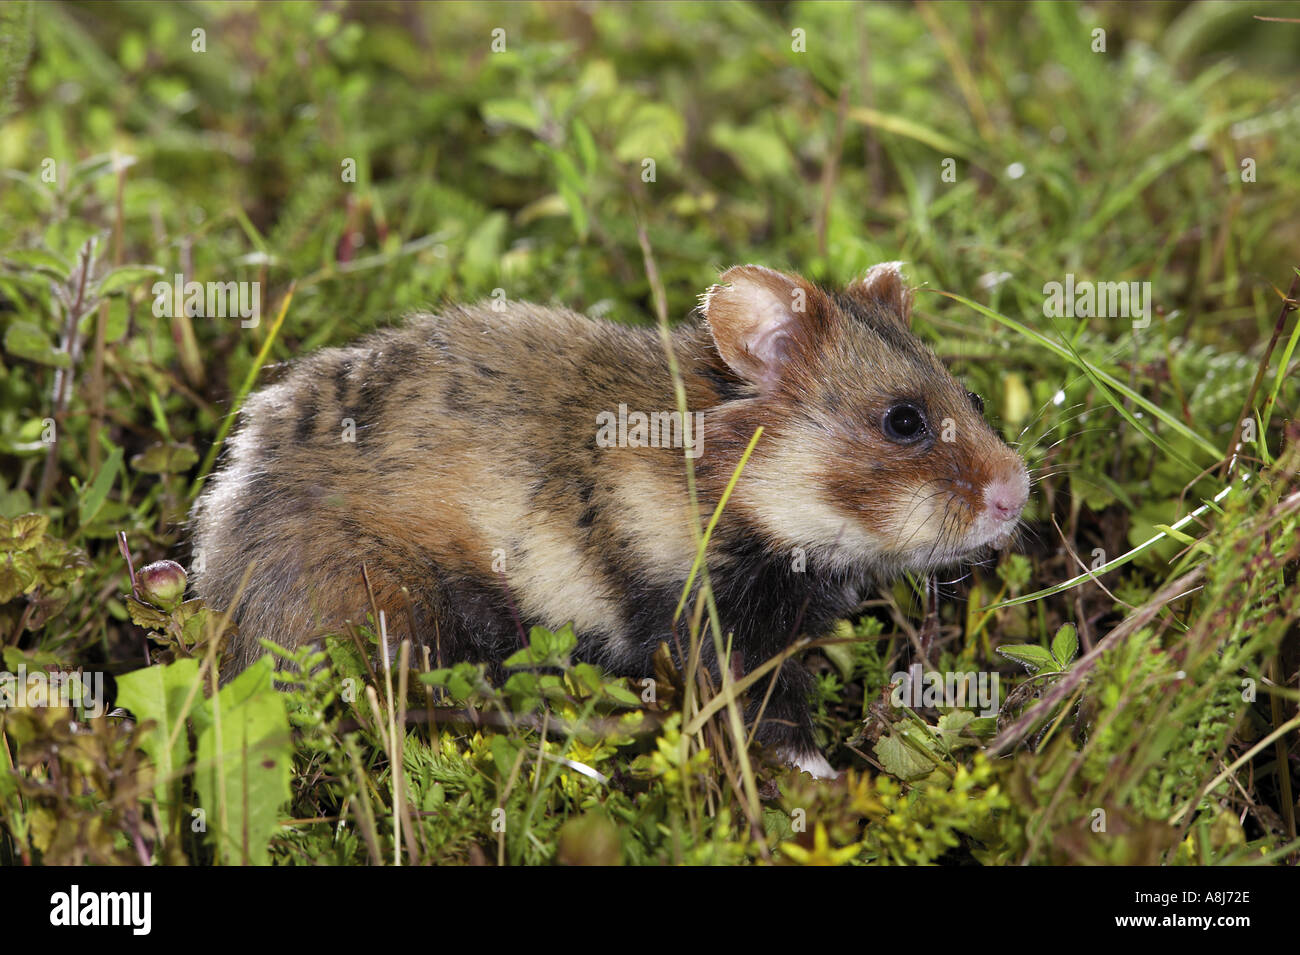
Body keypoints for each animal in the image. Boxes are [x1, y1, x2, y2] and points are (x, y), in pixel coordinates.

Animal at [190, 263, 1029, 778]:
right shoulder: (713, 626)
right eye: (903, 420)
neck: (732, 486)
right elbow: (775, 723)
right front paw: (830, 783)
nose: (1018, 494)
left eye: (972, 396)